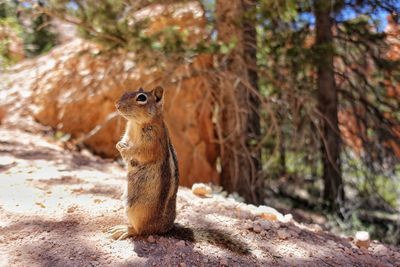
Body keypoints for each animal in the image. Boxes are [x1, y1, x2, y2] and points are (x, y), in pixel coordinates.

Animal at [108, 86, 179, 241]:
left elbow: (141, 152)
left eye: (141, 98)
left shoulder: (152, 143)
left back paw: (123, 230)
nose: (117, 105)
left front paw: (125, 149)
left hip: (135, 209)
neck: (136, 124)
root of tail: (162, 229)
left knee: (140, 230)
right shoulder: (127, 133)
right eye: (127, 92)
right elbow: (124, 142)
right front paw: (119, 145)